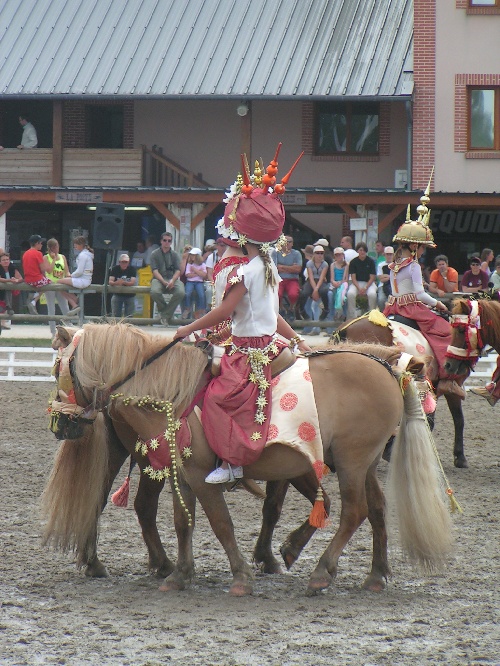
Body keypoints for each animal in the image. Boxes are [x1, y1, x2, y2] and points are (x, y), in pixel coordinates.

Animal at [45, 322, 454, 596]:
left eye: (57, 368)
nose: (60, 424)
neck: (171, 388)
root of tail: (386, 370)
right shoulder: (183, 471)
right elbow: (184, 522)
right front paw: (182, 574)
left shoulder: (208, 473)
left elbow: (222, 522)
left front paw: (243, 572)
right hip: (362, 463)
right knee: (373, 508)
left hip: (354, 462)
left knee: (356, 511)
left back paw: (323, 572)